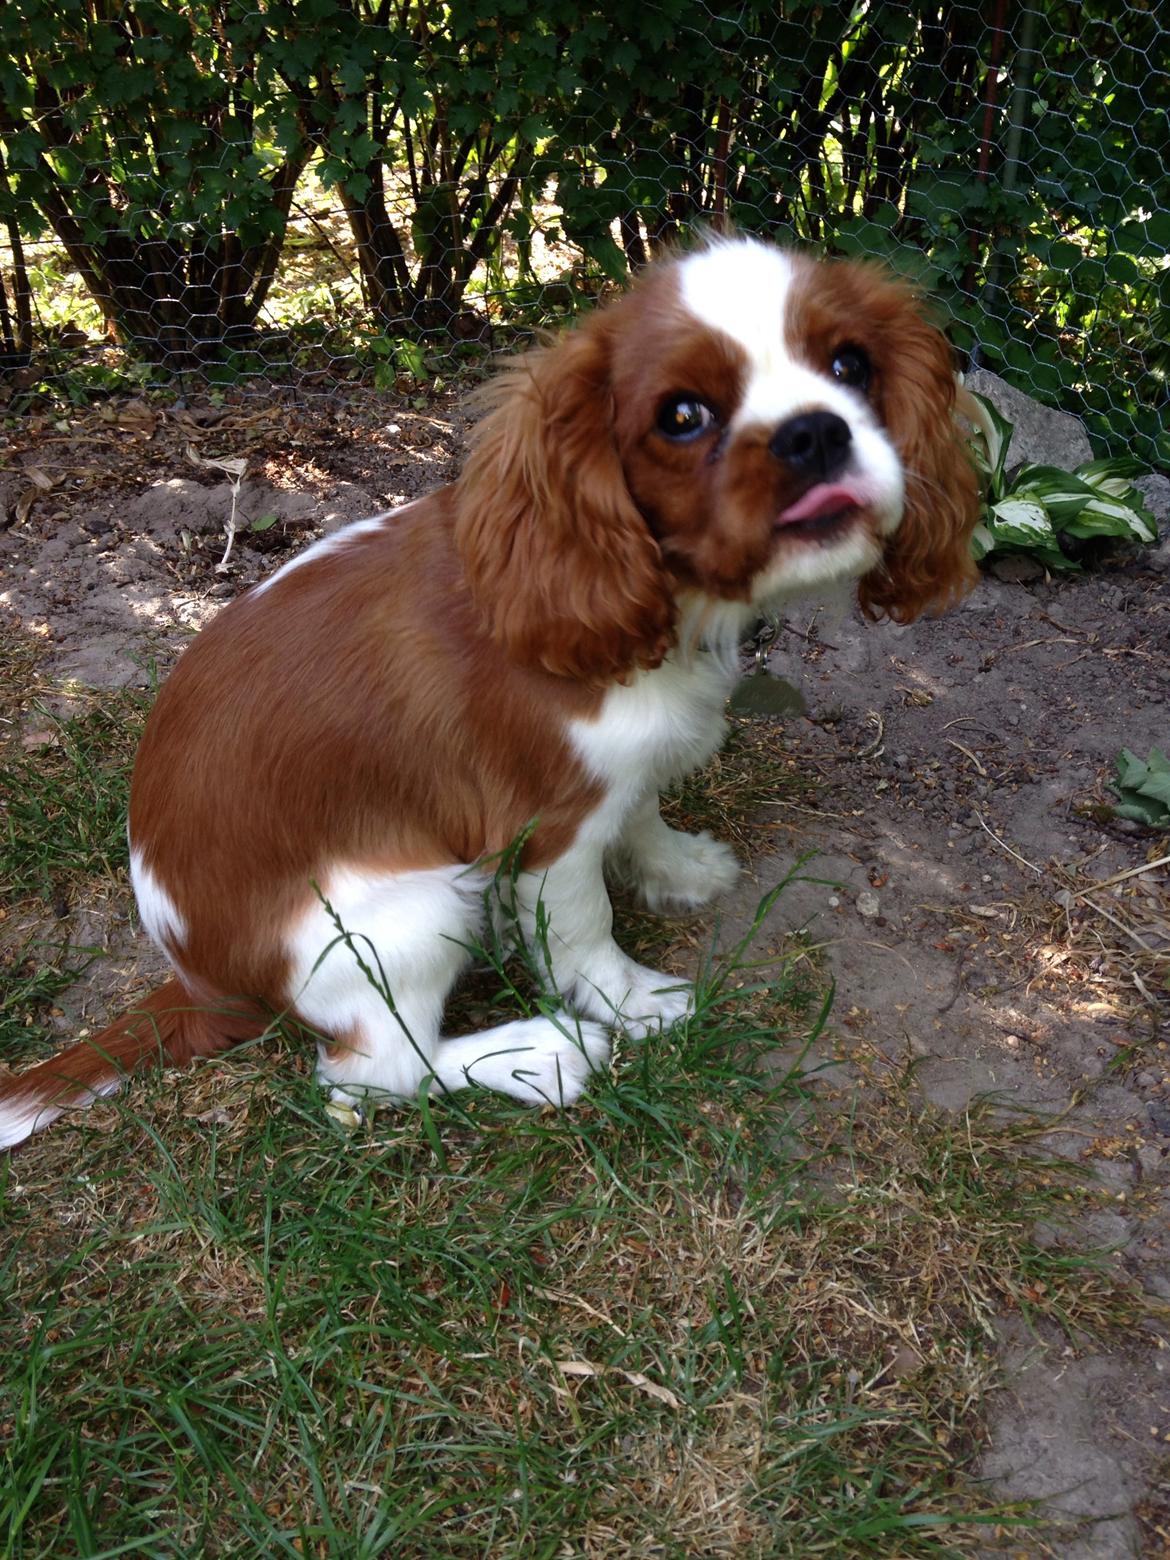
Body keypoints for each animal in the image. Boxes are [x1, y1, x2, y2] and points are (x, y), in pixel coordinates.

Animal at [0, 233, 979, 1148]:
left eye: (850, 364)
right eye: (683, 416)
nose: (814, 432)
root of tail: (200, 983)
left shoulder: (614, 777)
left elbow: (643, 812)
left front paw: (676, 869)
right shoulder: (546, 828)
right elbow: (584, 929)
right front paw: (632, 1005)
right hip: (414, 910)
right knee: (374, 1076)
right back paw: (539, 1055)